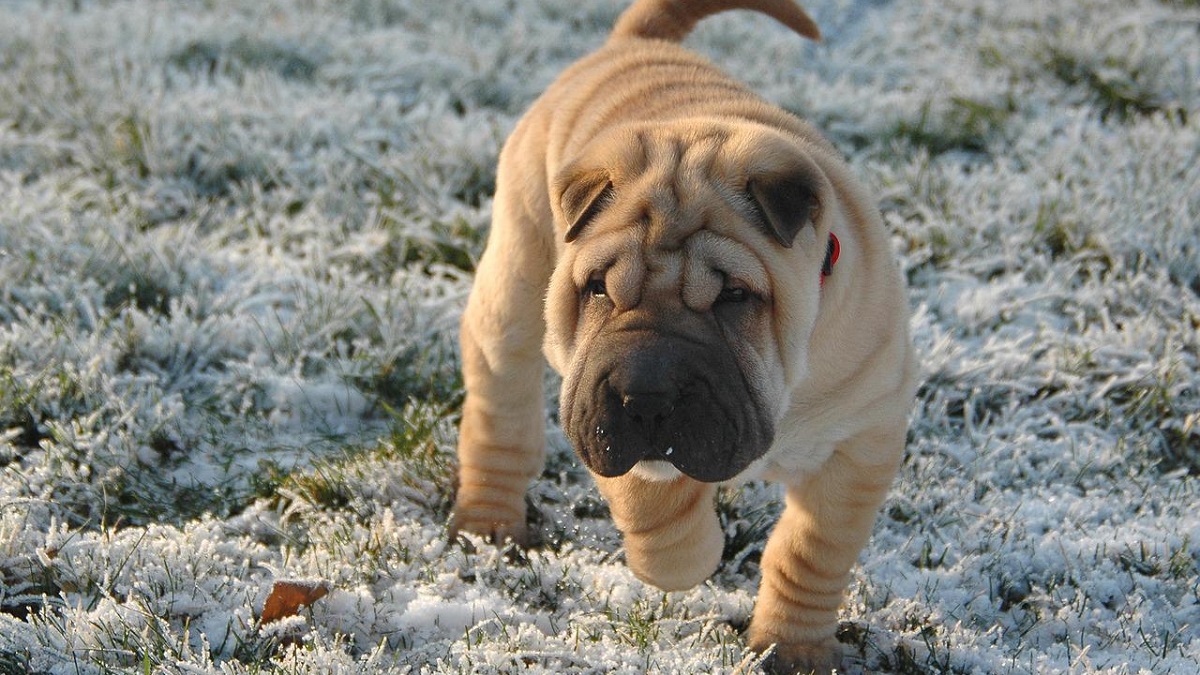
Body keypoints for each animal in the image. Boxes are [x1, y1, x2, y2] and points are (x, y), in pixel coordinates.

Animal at [451, 0, 916, 667]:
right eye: (598, 288)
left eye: (734, 297)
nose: (645, 393)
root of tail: (632, 45)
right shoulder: (598, 409)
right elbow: (657, 508)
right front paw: (691, 558)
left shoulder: (860, 444)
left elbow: (810, 552)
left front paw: (793, 649)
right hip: (513, 286)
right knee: (500, 415)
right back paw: (488, 522)